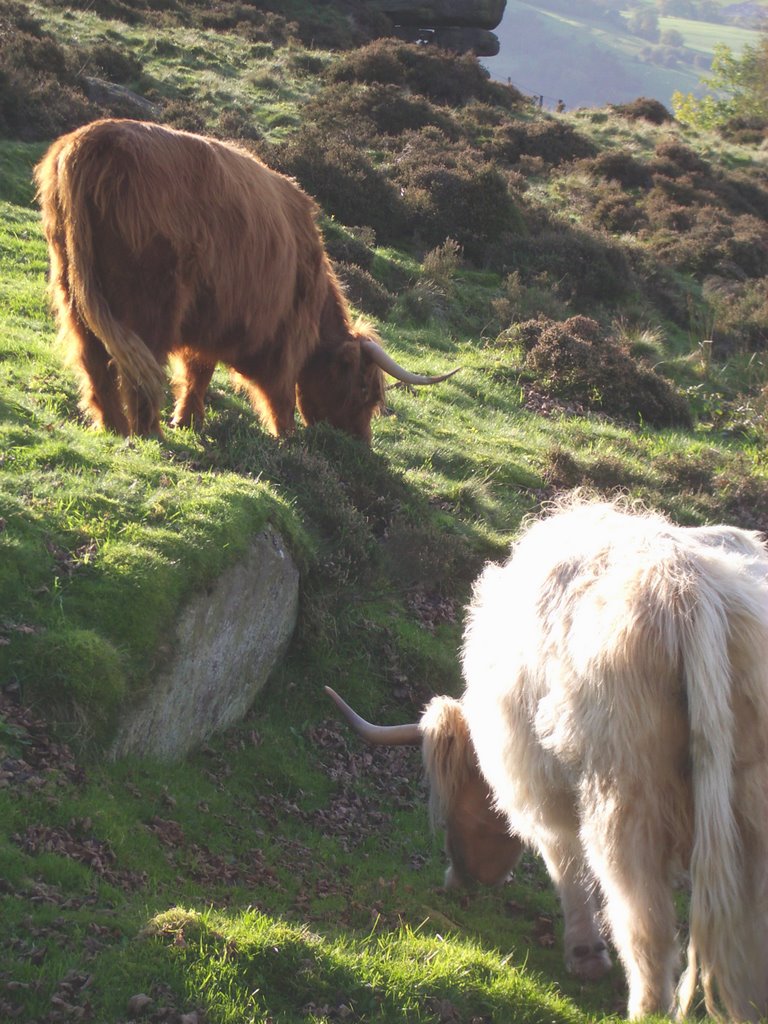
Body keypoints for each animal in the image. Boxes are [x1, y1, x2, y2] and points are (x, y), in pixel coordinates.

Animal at [34, 119, 456, 440]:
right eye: (364, 388)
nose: (360, 446)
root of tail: (93, 140)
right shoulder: (281, 337)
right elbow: (278, 394)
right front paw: (287, 439)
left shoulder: (210, 324)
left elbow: (197, 373)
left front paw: (188, 420)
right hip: (150, 302)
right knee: (140, 370)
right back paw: (148, 432)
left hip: (74, 291)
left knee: (94, 364)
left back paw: (114, 427)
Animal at [327, 495, 768, 1015]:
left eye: (454, 803)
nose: (460, 878)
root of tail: (689, 593)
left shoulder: (537, 782)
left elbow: (565, 861)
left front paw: (585, 953)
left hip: (625, 802)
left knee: (645, 923)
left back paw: (643, 1007)